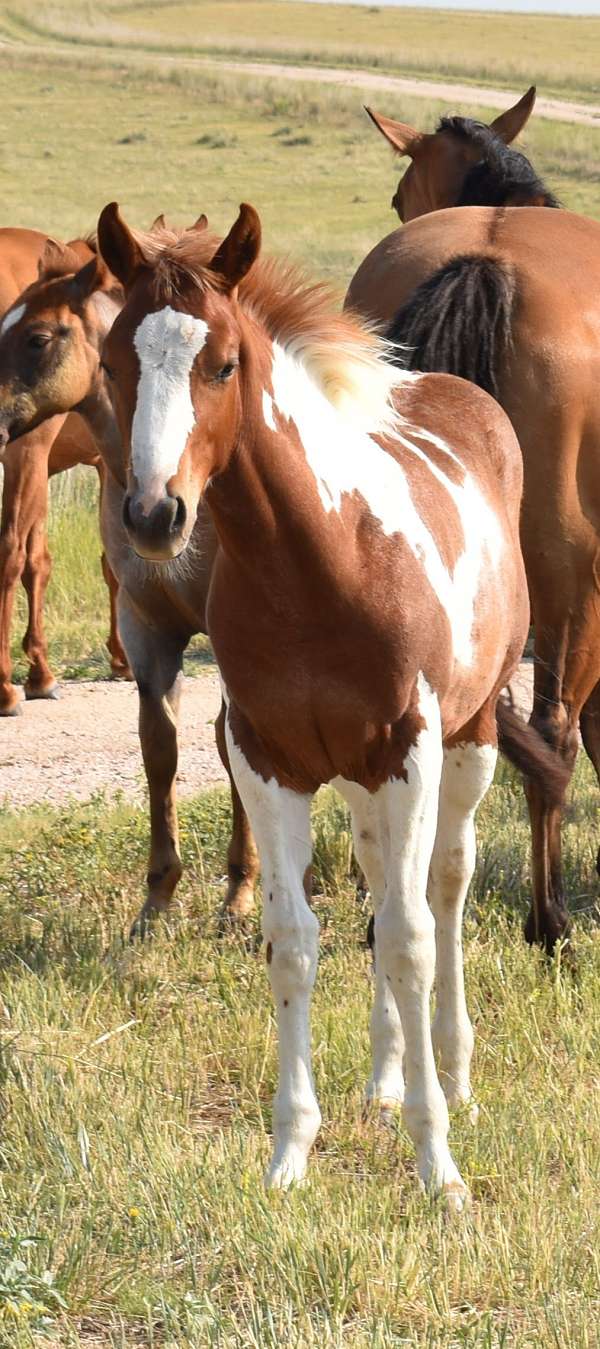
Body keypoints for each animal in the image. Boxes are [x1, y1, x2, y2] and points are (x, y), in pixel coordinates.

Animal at [91, 202, 568, 1203]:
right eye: (114, 361)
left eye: (221, 363)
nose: (154, 515)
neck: (322, 559)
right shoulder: (267, 757)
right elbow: (295, 937)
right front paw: (289, 1154)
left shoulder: (411, 749)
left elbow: (413, 937)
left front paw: (439, 1167)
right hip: (354, 777)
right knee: (382, 883)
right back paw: (386, 1079)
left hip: (465, 743)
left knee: (442, 886)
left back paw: (452, 1074)